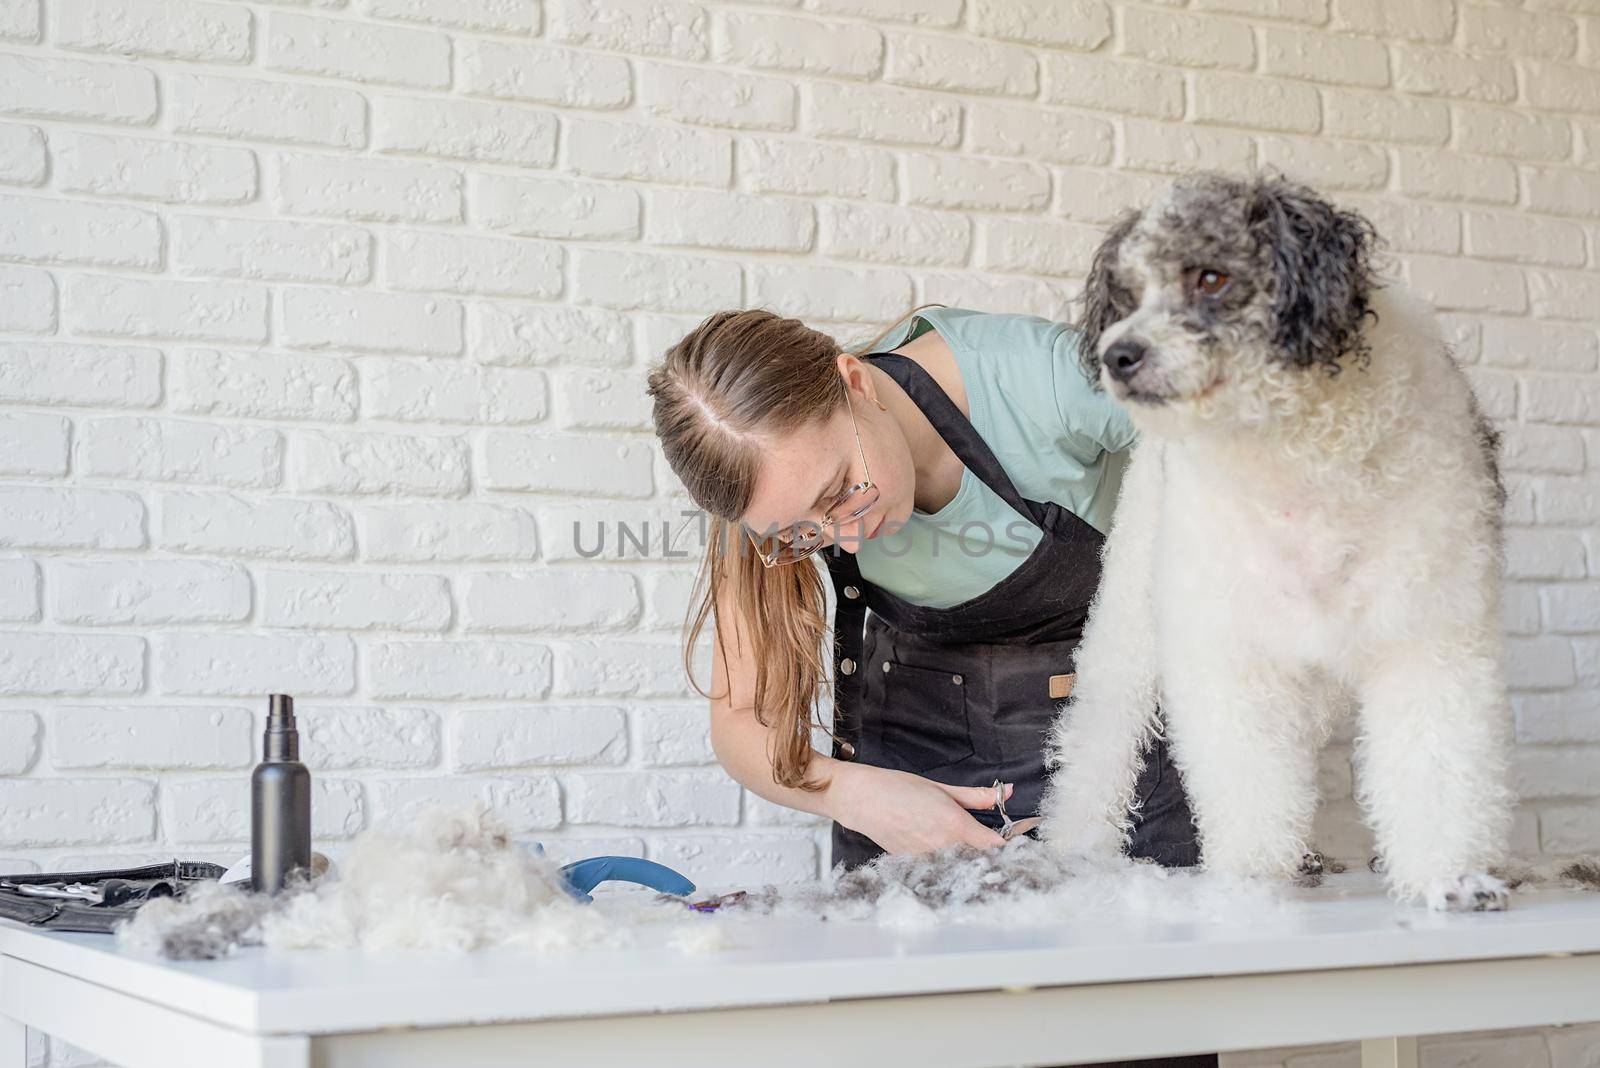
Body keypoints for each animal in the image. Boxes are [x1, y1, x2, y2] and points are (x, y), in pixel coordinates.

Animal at [1043, 173, 1516, 908]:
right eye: (1126, 294)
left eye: (1211, 277)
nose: (1118, 355)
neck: (1294, 453)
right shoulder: (1231, 651)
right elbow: (1249, 780)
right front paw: (1249, 879)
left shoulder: (1429, 634)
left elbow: (1437, 763)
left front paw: (1450, 876)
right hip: (1128, 624)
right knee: (1099, 740)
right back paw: (1074, 846)